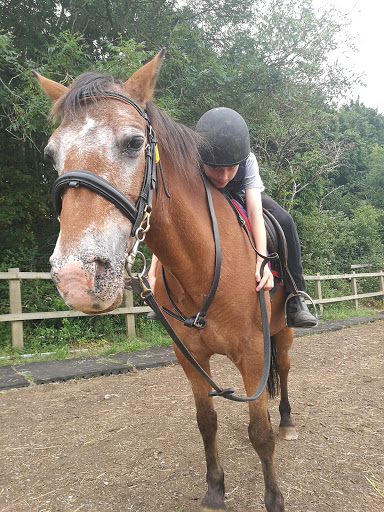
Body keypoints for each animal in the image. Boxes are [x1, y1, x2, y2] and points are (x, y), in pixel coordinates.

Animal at [35, 51, 296, 512]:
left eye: (133, 143)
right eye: (51, 154)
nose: (75, 277)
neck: (201, 268)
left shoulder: (253, 354)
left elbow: (260, 434)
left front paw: (273, 498)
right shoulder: (189, 359)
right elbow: (206, 421)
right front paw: (215, 488)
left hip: (281, 334)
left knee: (282, 373)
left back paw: (287, 419)